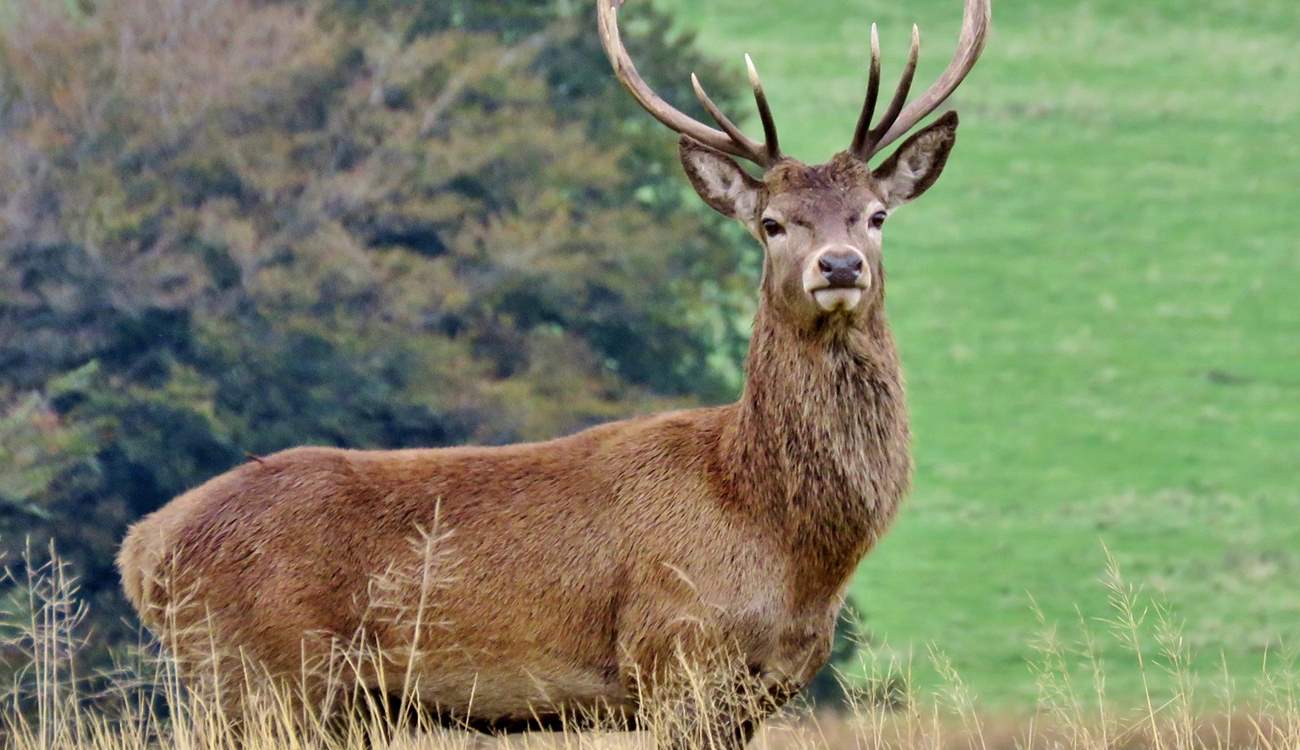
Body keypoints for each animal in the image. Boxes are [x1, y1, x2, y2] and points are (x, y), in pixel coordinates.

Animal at [116, 0, 989, 746]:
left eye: (876, 215)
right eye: (772, 223)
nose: (838, 265)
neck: (779, 534)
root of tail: (143, 550)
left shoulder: (761, 688)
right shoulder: (674, 656)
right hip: (259, 676)